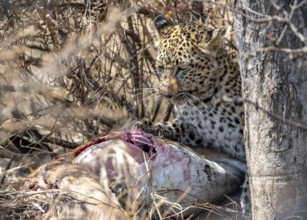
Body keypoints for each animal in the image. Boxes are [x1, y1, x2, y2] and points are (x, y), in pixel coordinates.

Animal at [136, 15, 251, 217]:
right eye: (160, 68)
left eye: (182, 68)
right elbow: (175, 126)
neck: (203, 101)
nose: (165, 94)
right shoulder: (197, 130)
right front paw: (149, 126)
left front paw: (248, 198)